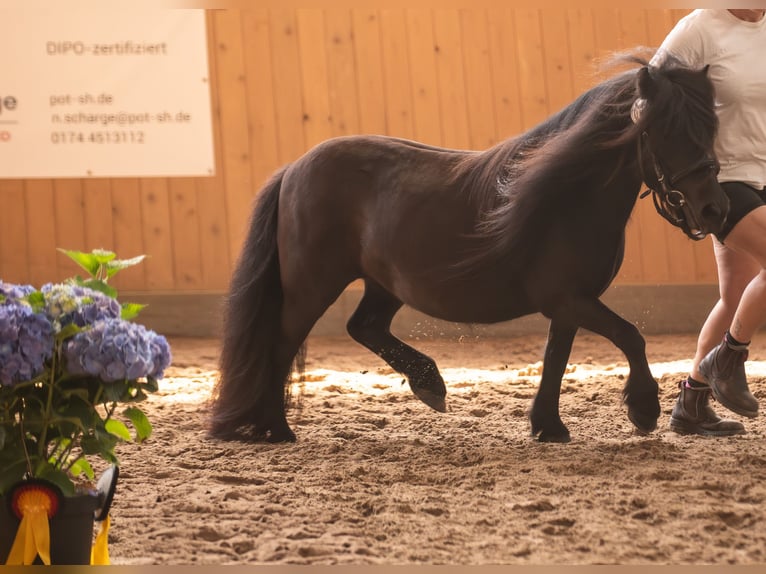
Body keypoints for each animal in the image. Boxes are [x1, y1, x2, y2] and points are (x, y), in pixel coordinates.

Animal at [210, 54, 728, 444]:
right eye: (667, 130)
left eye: (711, 127)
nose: (713, 210)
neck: (569, 195)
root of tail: (293, 169)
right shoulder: (570, 299)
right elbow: (630, 337)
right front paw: (643, 409)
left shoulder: (568, 305)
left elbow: (556, 359)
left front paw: (548, 426)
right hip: (311, 286)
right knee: (282, 343)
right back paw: (277, 429)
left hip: (382, 283)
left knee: (365, 326)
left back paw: (429, 384)